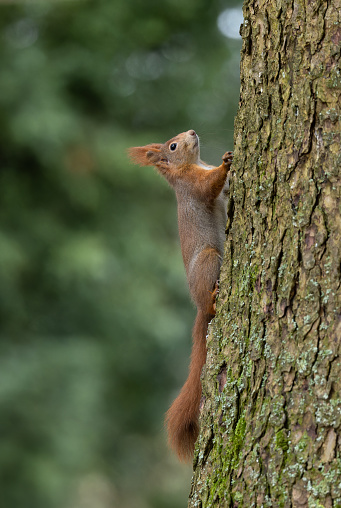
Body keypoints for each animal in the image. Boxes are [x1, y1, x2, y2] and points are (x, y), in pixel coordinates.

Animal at [129, 130, 232, 460]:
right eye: (173, 146)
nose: (192, 132)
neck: (196, 164)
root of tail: (199, 308)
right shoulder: (193, 187)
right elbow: (209, 187)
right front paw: (227, 164)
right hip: (209, 259)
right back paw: (213, 298)